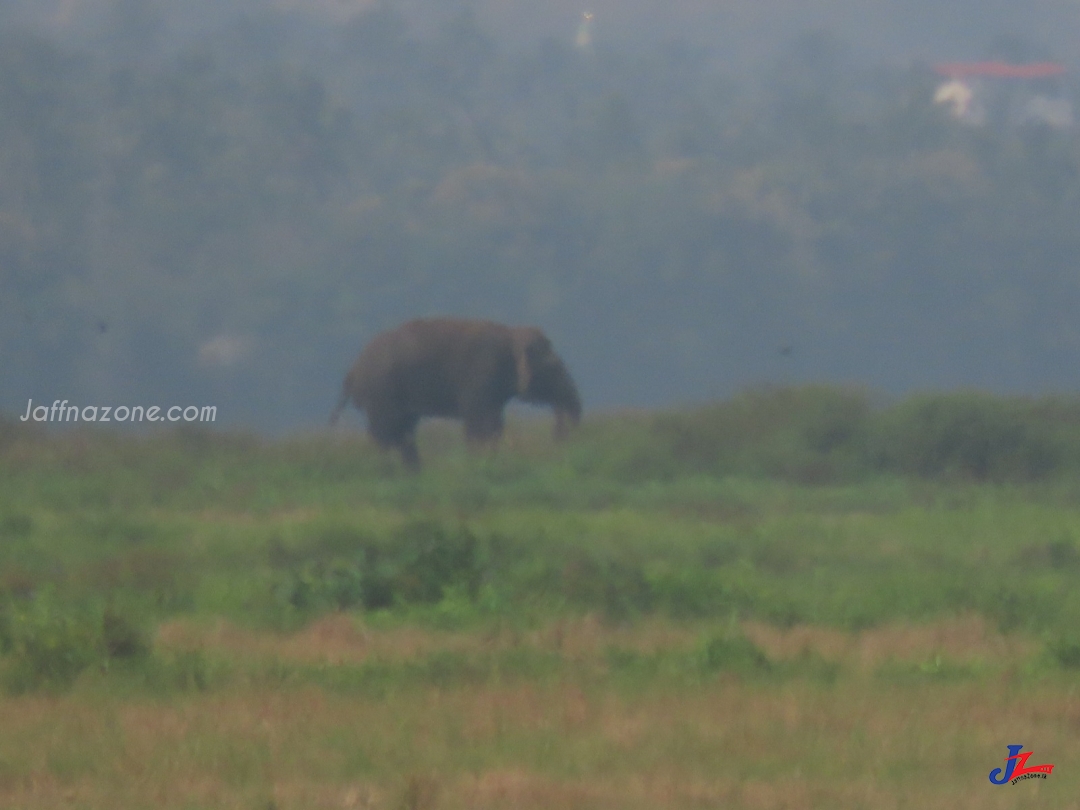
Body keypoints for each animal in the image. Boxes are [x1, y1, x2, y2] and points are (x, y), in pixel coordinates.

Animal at [328, 317, 583, 468]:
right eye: (554, 366)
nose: (558, 436)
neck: (512, 334)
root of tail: (352, 370)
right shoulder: (480, 378)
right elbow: (480, 423)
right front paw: (479, 462)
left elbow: (495, 425)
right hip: (381, 392)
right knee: (386, 432)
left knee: (404, 431)